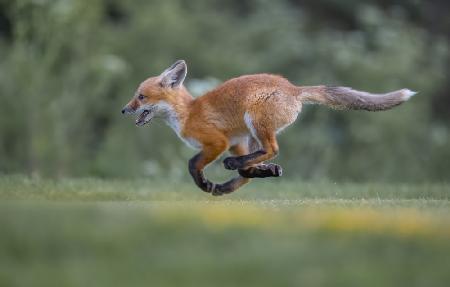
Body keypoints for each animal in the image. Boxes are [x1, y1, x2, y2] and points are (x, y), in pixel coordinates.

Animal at [120, 60, 414, 196]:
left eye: (141, 97)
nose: (123, 110)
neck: (188, 113)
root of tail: (294, 88)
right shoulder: (235, 142)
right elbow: (245, 172)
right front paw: (224, 185)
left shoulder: (217, 142)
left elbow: (193, 164)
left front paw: (204, 184)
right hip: (251, 135)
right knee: (253, 164)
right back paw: (253, 175)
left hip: (255, 121)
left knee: (271, 149)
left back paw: (239, 169)